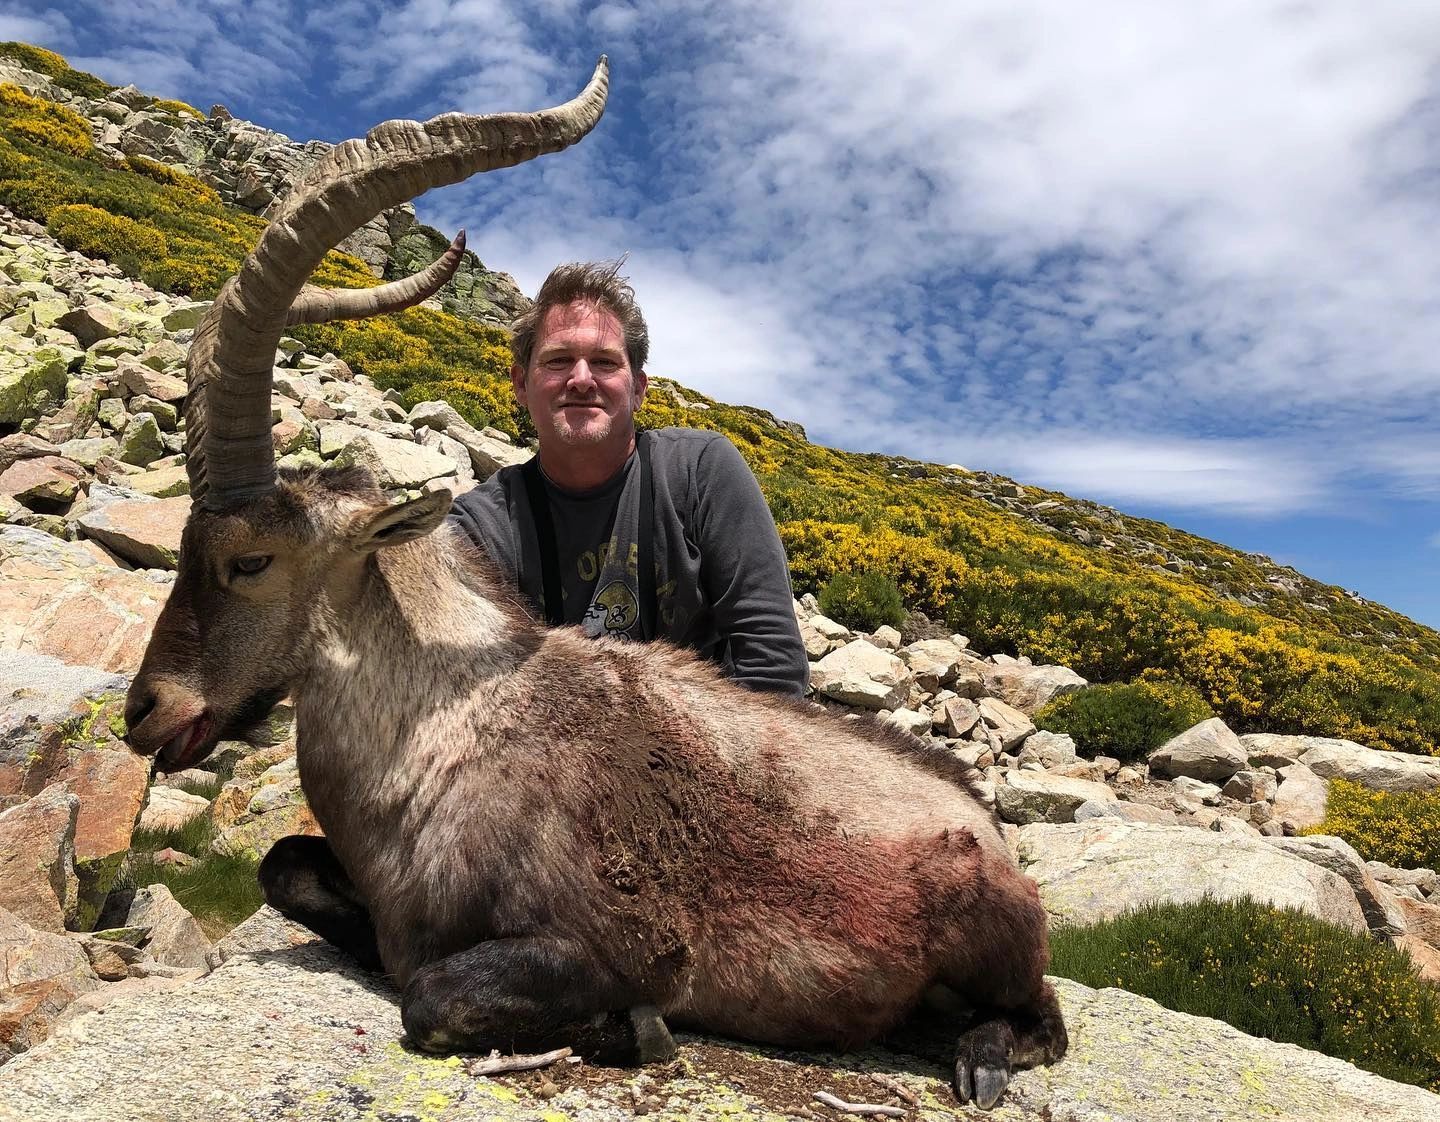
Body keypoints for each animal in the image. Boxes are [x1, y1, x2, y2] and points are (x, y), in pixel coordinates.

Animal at [122, 58, 1067, 1110]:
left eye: (250, 560)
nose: (145, 712)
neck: (442, 738)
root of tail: (988, 827)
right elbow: (288, 870)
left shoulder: (624, 937)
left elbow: (435, 993)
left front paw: (635, 1028)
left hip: (990, 935)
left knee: (1044, 1015)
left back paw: (981, 1057)